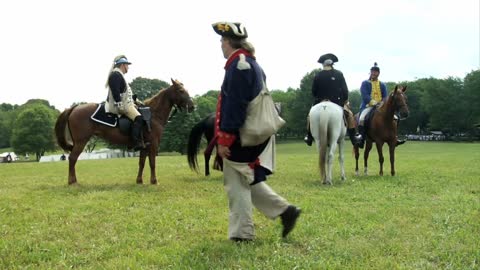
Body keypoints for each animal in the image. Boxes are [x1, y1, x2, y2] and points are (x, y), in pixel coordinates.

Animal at [57, 79, 196, 186]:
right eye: (181, 90)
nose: (192, 106)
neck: (153, 115)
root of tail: (75, 107)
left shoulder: (144, 146)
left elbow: (141, 163)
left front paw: (139, 181)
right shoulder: (153, 144)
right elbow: (152, 163)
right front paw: (154, 181)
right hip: (81, 142)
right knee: (72, 158)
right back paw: (72, 182)